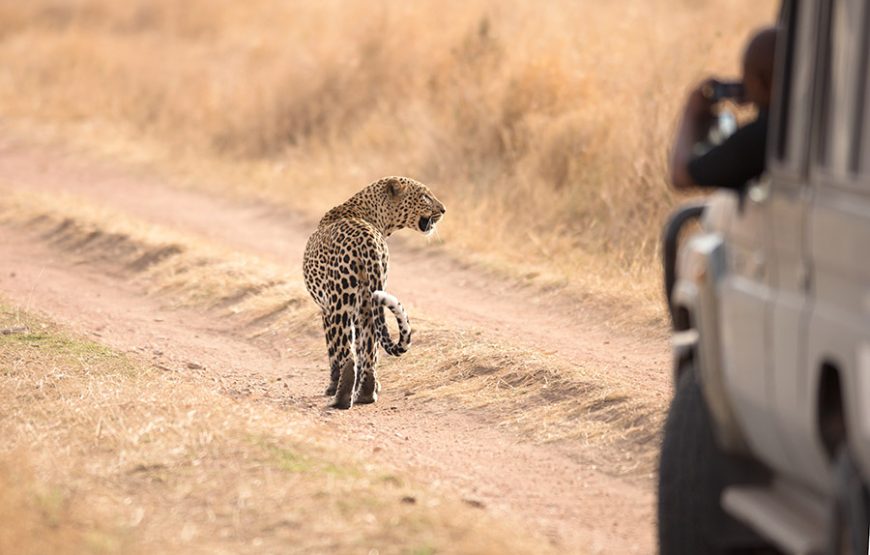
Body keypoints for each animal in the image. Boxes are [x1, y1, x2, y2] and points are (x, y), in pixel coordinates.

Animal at [302, 176, 450, 410]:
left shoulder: (325, 309)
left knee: (346, 354)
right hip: (368, 301)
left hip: (340, 303)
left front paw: (331, 386)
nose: (444, 210)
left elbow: (332, 350)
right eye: (424, 196)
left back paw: (340, 398)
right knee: (369, 348)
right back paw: (365, 393)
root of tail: (367, 239)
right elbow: (364, 349)